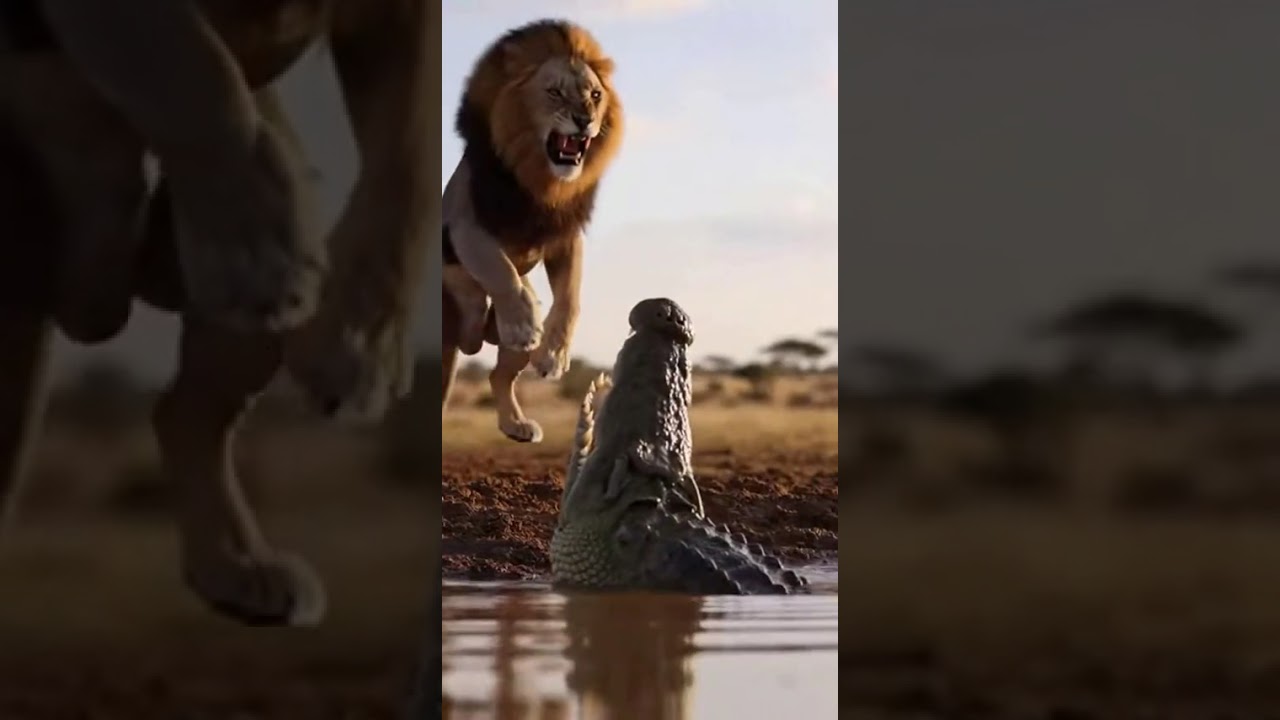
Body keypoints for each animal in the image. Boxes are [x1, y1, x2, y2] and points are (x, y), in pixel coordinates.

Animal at [0, 0, 436, 627]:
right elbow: (194, 67)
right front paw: (258, 257)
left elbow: (410, 153)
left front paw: (361, 345)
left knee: (183, 413)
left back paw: (240, 568)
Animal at [442, 19, 624, 444]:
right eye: (554, 92)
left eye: (594, 95)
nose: (584, 120)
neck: (541, 181)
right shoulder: (465, 223)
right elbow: (499, 268)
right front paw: (523, 322)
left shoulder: (565, 236)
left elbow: (570, 298)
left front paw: (554, 355)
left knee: (497, 375)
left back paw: (516, 424)